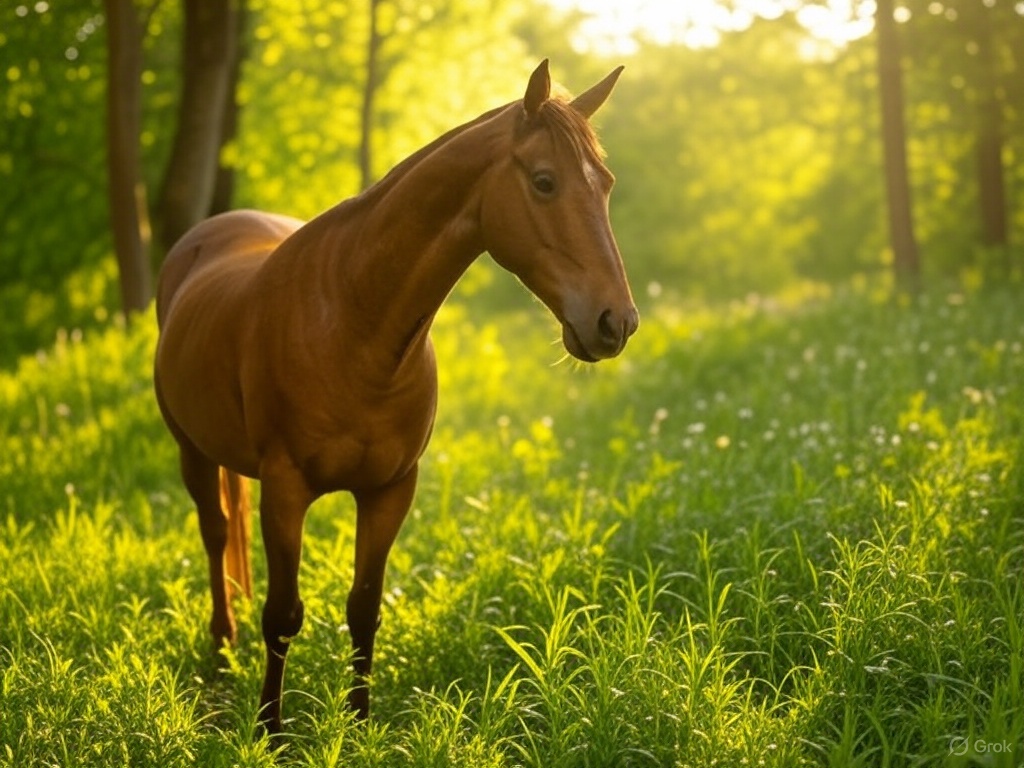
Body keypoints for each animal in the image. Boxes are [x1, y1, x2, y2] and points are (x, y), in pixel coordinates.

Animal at [153, 60, 638, 734]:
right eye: (544, 182)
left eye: (607, 185)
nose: (616, 321)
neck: (355, 323)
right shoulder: (286, 489)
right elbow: (282, 615)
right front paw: (271, 732)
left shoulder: (390, 490)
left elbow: (364, 609)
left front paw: (359, 728)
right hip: (190, 452)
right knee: (216, 533)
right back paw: (223, 649)